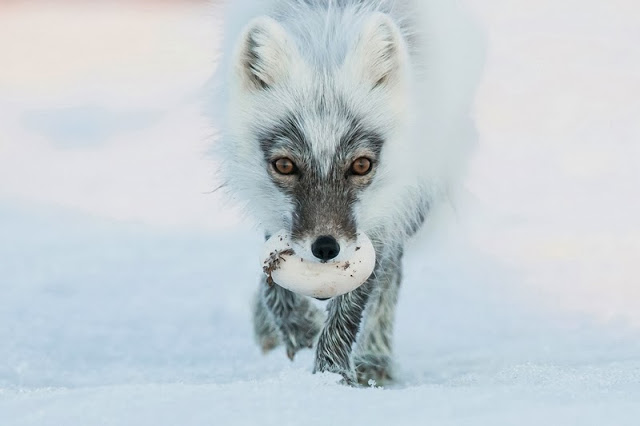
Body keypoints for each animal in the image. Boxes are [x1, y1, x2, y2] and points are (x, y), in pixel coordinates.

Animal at [212, 0, 482, 386]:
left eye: (361, 165)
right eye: (284, 165)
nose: (326, 248)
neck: (325, 37)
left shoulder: (383, 214)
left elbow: (355, 303)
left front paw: (332, 376)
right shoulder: (272, 207)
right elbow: (271, 278)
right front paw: (297, 327)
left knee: (391, 275)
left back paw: (374, 358)